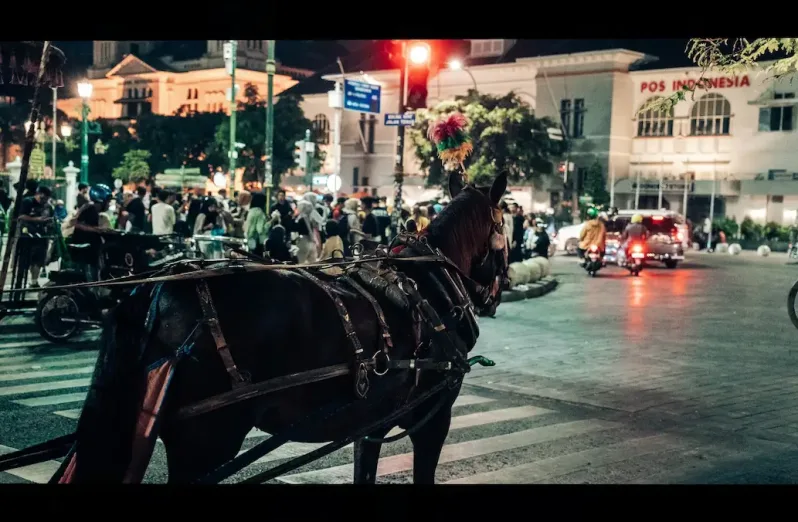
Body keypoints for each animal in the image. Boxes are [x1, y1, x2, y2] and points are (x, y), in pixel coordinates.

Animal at [59, 172, 510, 484]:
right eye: (504, 225)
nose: (495, 293)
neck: (431, 282)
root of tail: (154, 290)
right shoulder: (434, 420)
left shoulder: (371, 424)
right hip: (208, 440)